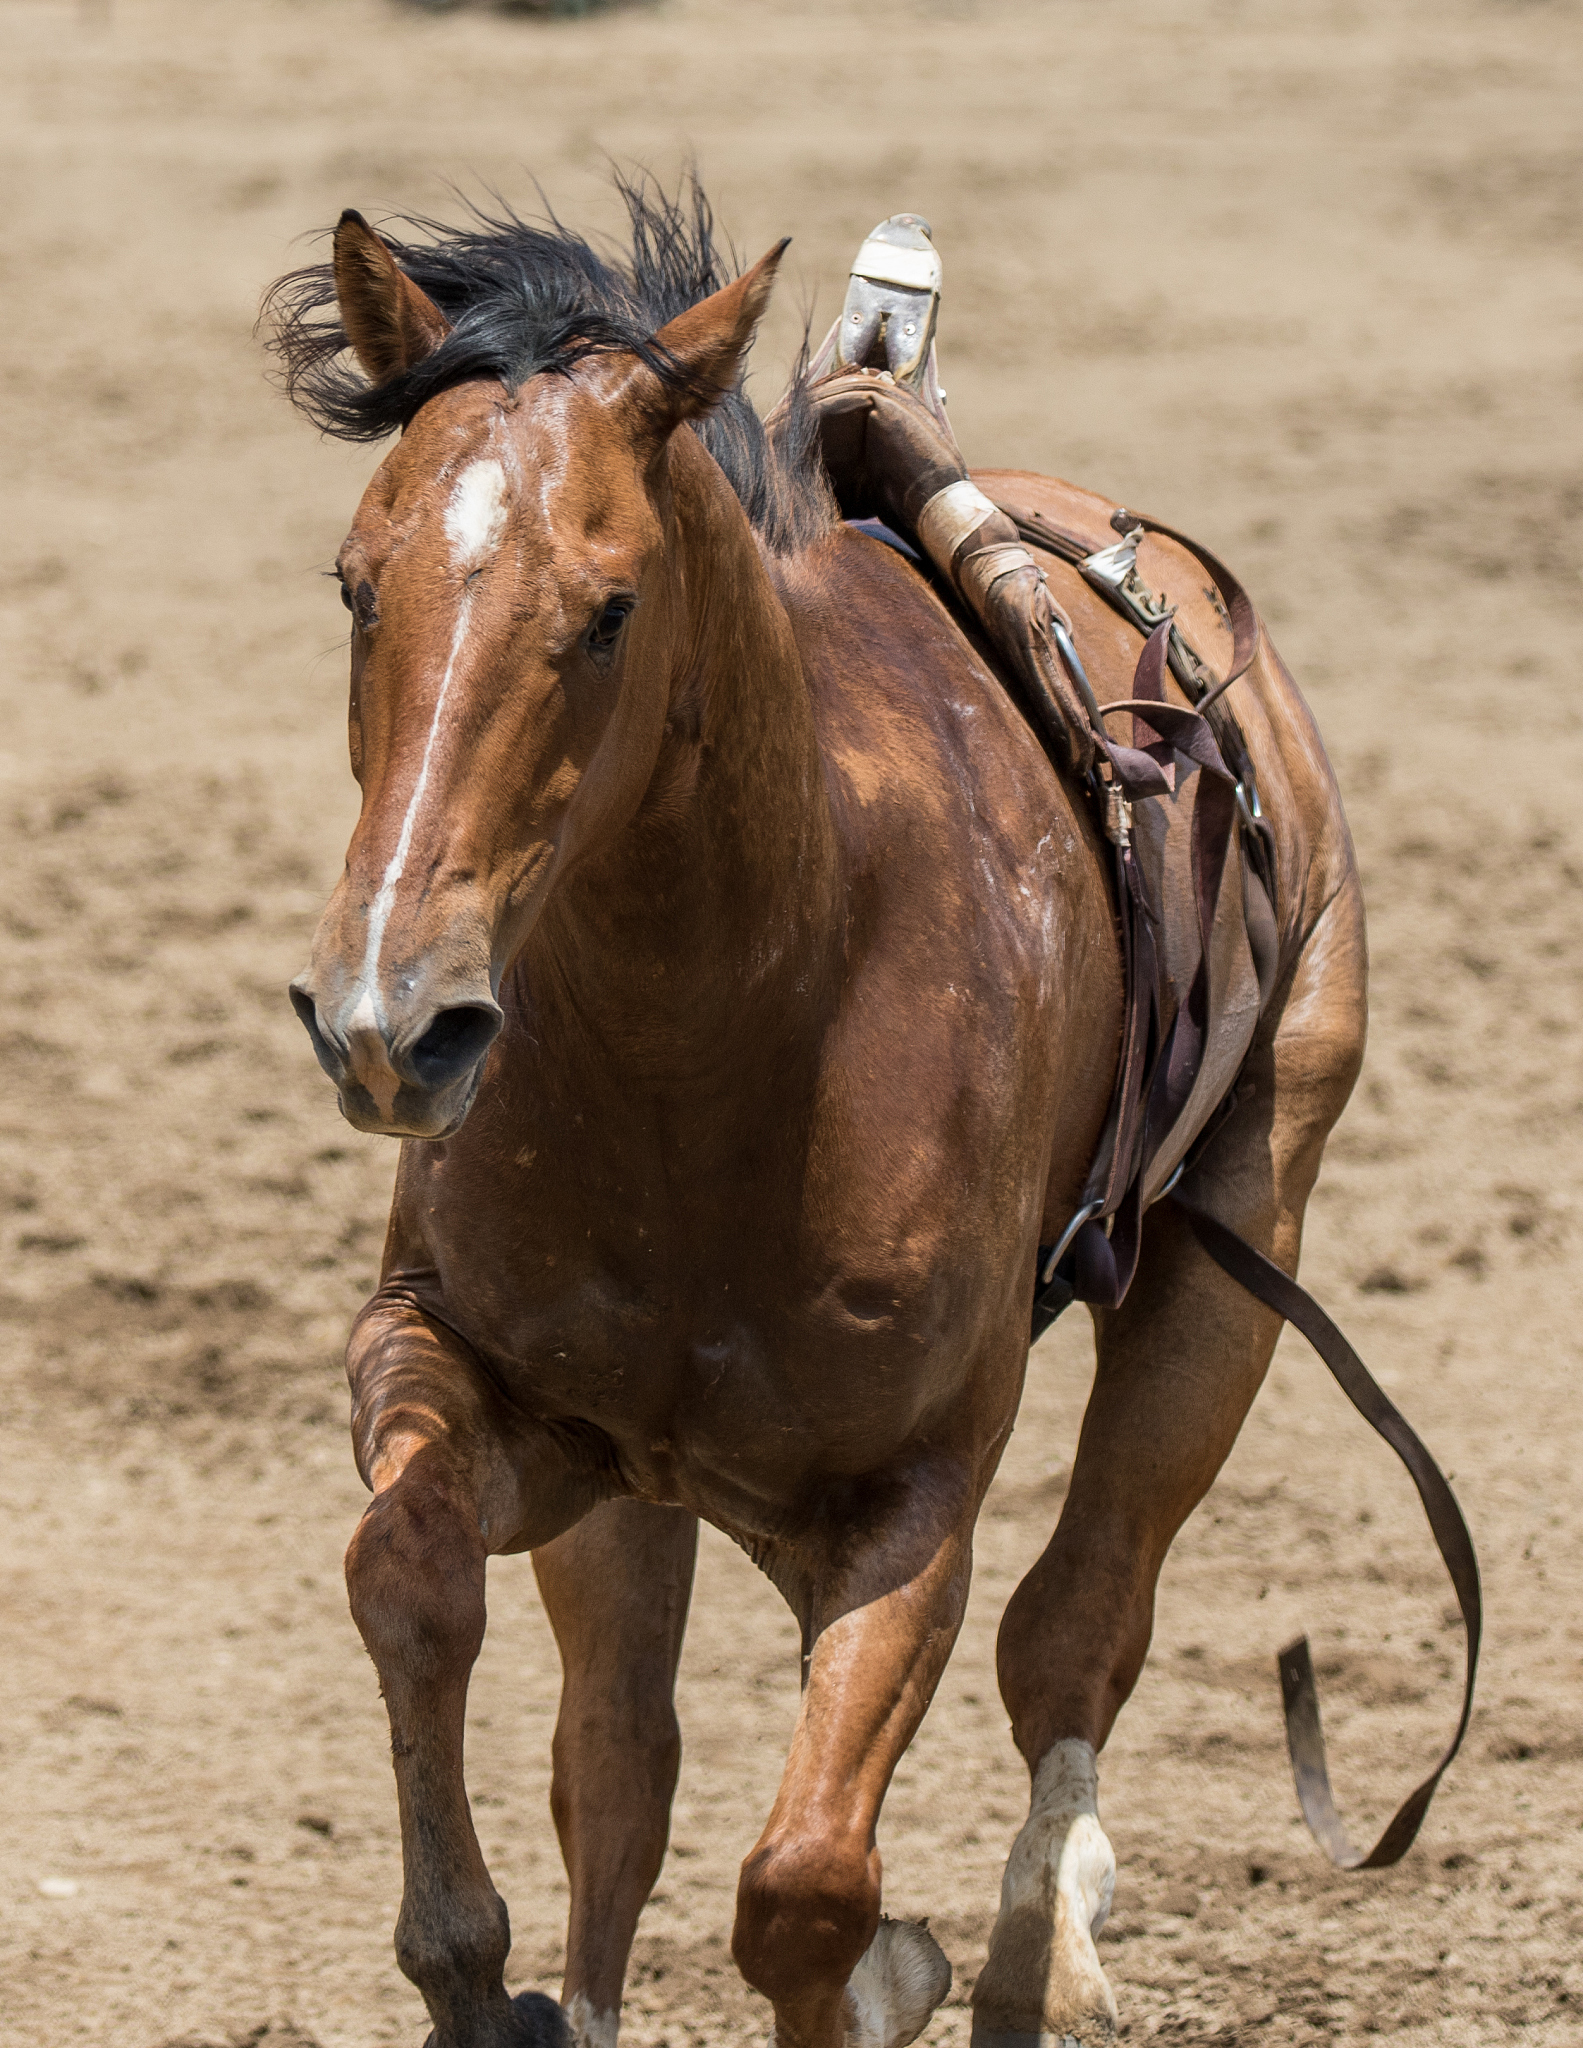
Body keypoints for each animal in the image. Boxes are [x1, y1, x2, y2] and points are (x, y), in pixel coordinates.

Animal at [265, 181, 1366, 2048]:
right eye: (355, 586)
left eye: (612, 608)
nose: (387, 1023)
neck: (734, 1037)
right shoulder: (478, 1379)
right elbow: (405, 1573)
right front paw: (467, 1966)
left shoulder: (912, 1490)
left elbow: (802, 1887)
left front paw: (884, 1965)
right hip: (640, 1492)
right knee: (617, 1763)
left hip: (1231, 1253)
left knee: (1071, 1632)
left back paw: (1037, 1939)